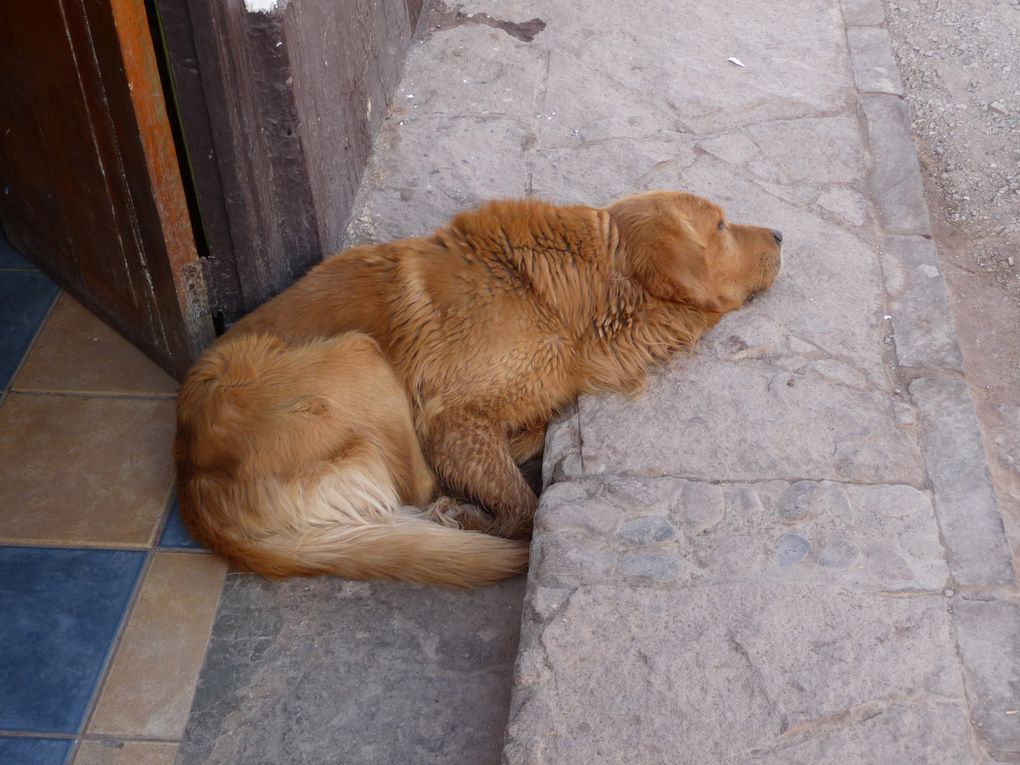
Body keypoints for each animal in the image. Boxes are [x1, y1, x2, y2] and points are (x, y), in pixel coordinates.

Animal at [173, 191, 779, 587]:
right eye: (720, 225)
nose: (780, 233)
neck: (579, 293)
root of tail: (193, 483)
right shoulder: (448, 417)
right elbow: (523, 507)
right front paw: (484, 511)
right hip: (358, 353)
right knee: (420, 490)